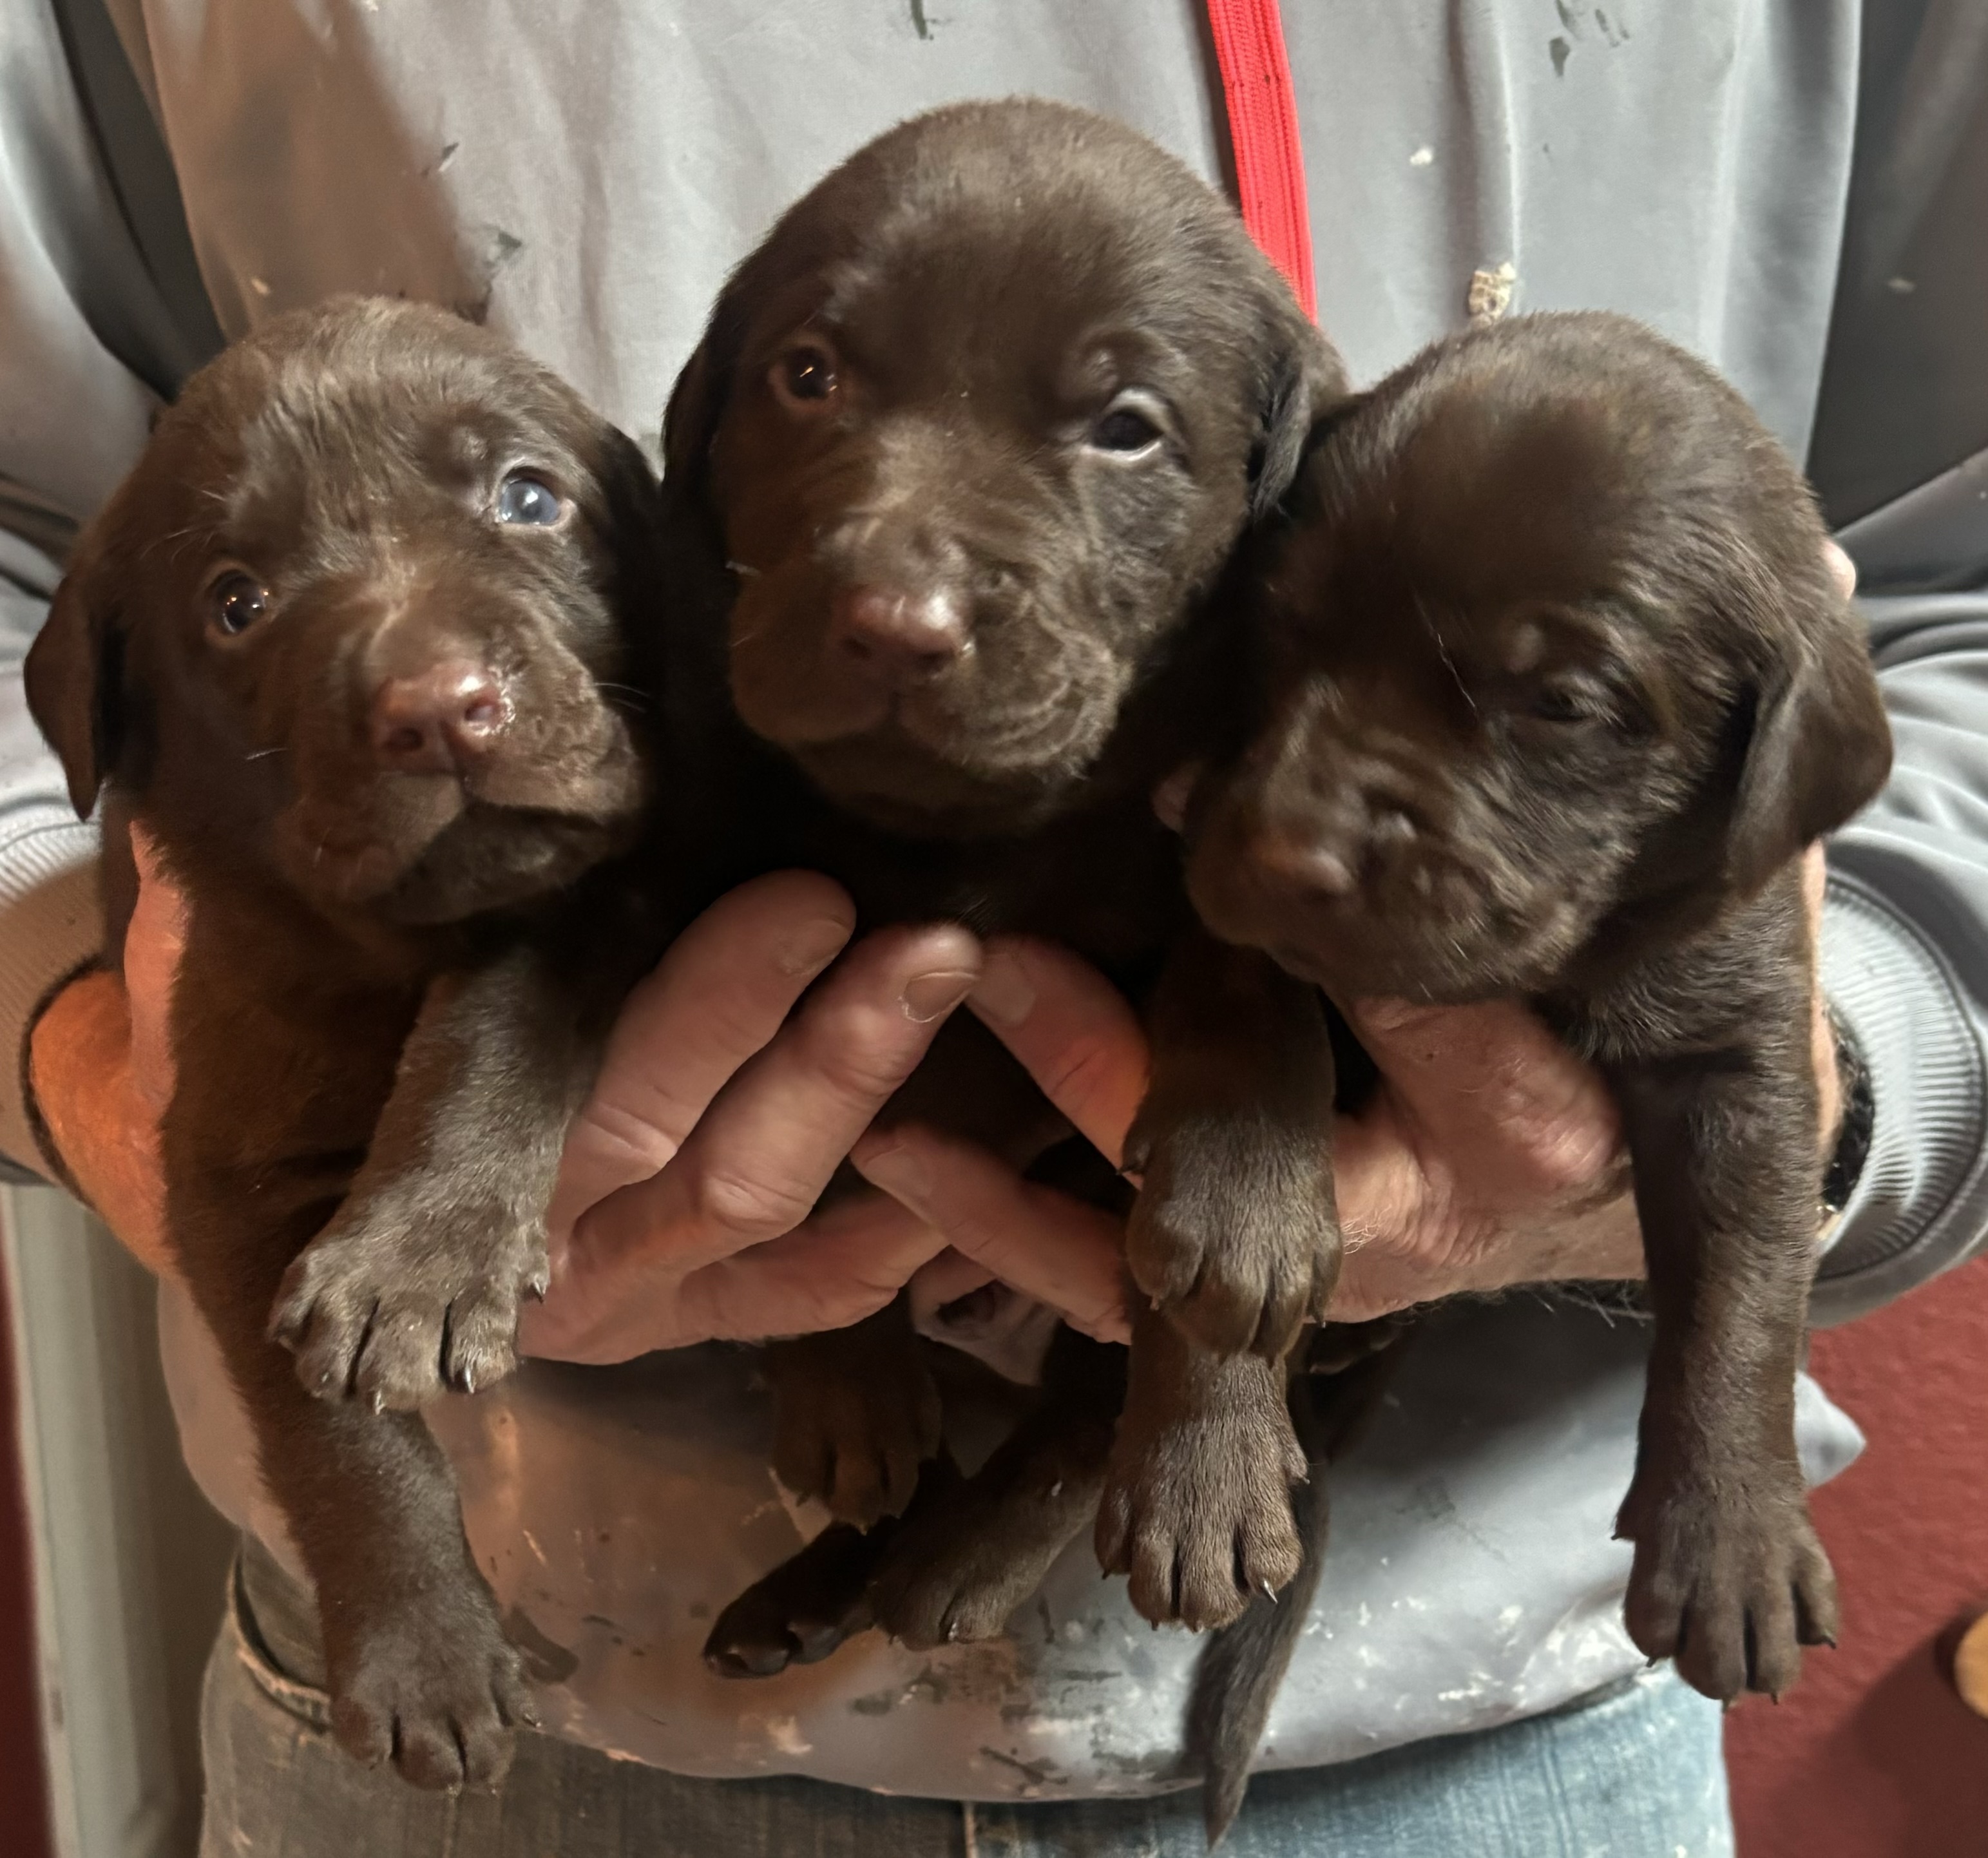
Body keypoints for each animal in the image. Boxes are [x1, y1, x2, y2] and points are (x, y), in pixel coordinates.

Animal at [25, 296, 667, 1789]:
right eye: (237, 601)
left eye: (529, 497)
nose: (441, 707)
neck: (394, 952)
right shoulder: (221, 1160)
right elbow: (333, 1432)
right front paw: (422, 1650)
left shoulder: (595, 883)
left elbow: (502, 1003)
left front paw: (421, 1253)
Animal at [1178, 309, 1891, 1834]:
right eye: (1279, 624)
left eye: (1560, 701)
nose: (1284, 851)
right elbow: (1237, 1007)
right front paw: (1236, 1214)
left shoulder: (1744, 1045)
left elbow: (1744, 1287)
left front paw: (1733, 1527)